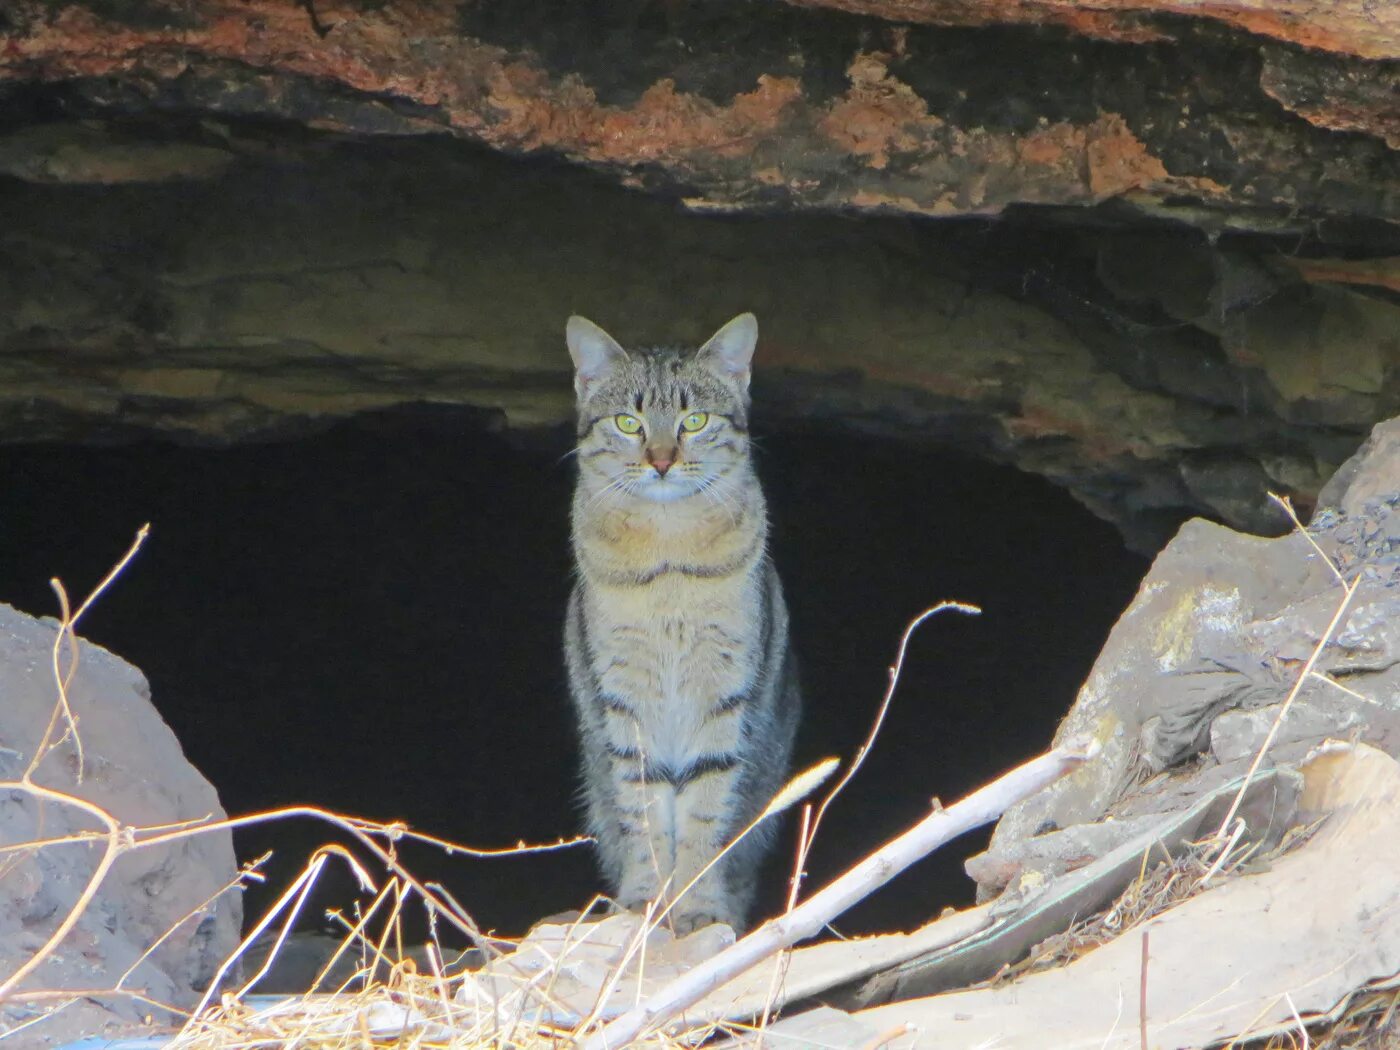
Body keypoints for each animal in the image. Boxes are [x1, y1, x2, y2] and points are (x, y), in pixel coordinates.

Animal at [557, 312, 800, 935]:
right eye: (629, 422)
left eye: (695, 420)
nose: (662, 461)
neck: (666, 555)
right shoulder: (624, 696)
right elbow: (643, 810)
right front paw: (647, 898)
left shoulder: (723, 691)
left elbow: (704, 811)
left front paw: (695, 905)